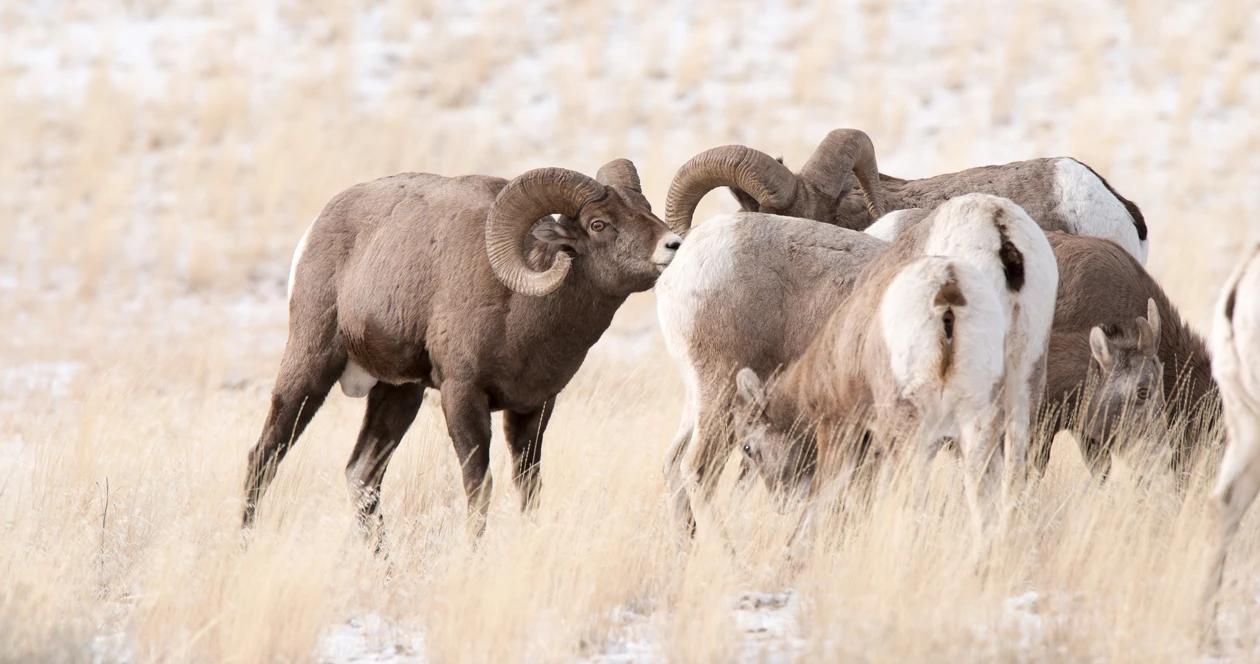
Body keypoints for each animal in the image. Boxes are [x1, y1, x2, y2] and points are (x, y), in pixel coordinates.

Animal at [240, 161, 685, 539]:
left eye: (645, 208)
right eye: (598, 224)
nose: (674, 245)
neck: (519, 309)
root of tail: (317, 229)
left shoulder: (534, 407)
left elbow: (529, 488)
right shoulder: (462, 395)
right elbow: (479, 487)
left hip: (399, 393)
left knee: (362, 476)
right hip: (310, 368)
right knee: (264, 457)